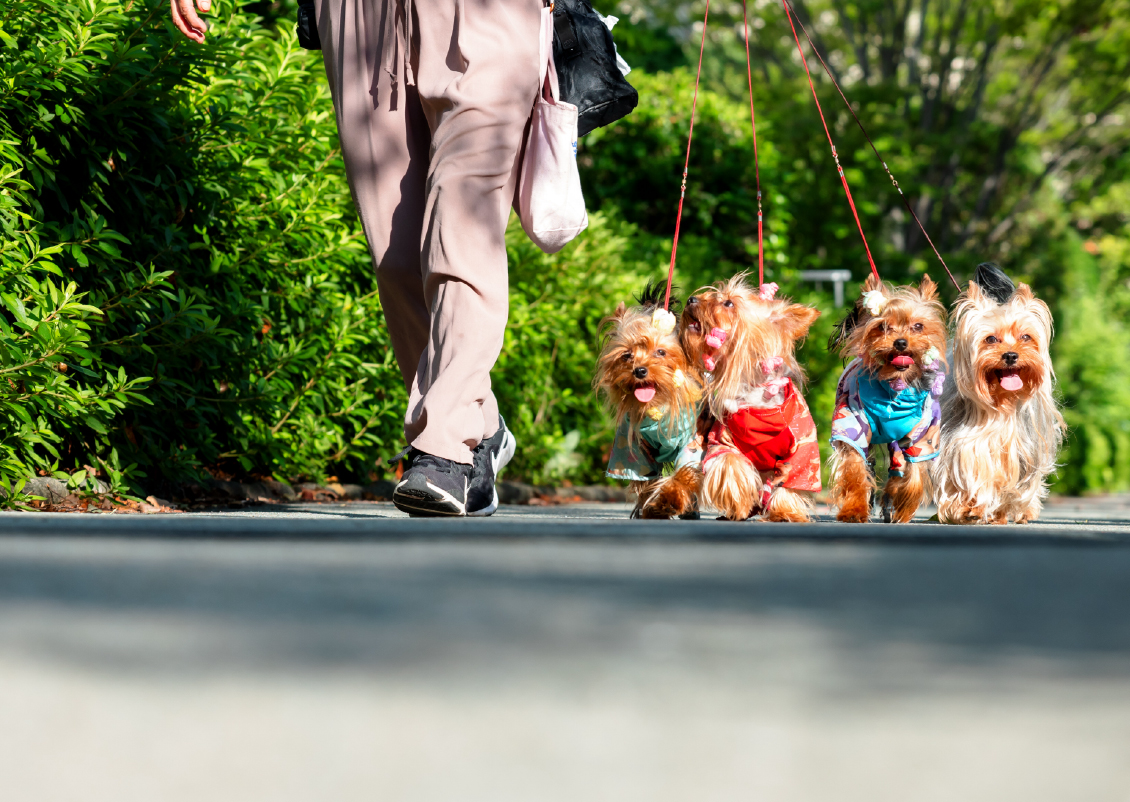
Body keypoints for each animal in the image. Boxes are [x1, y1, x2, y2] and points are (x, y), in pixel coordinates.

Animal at [678, 273, 822, 524]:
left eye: (729, 303)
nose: (691, 299)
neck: (758, 394)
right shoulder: (723, 439)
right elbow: (729, 463)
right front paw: (739, 502)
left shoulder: (803, 446)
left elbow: (794, 478)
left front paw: (785, 512)